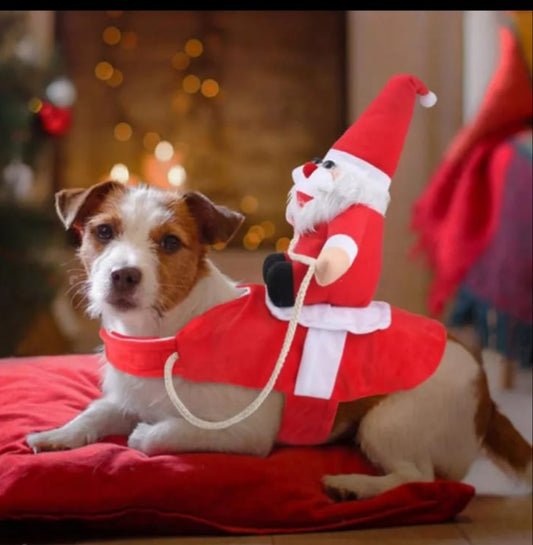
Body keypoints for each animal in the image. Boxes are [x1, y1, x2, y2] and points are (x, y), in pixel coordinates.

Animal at [26, 181, 532, 500]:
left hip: (387, 422)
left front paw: (145, 434)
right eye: (103, 232)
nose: (123, 275)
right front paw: (57, 435)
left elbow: (159, 434)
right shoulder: (124, 397)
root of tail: (486, 392)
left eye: (169, 243)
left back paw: (356, 485)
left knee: (420, 478)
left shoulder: (245, 432)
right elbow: (93, 413)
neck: (166, 334)